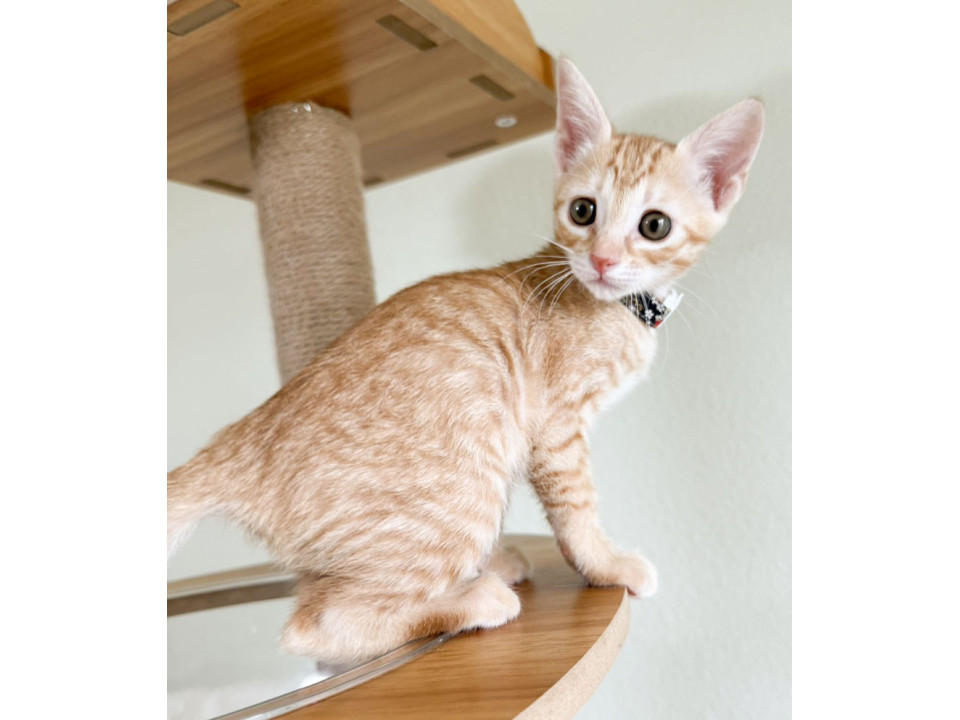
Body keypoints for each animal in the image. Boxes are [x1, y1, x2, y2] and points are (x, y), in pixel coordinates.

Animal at [168, 57, 764, 665]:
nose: (601, 259)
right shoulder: (557, 426)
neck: (616, 307)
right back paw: (476, 599)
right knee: (315, 624)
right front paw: (606, 565)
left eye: (654, 225)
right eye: (583, 211)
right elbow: (576, 507)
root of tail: (241, 439)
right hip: (463, 484)